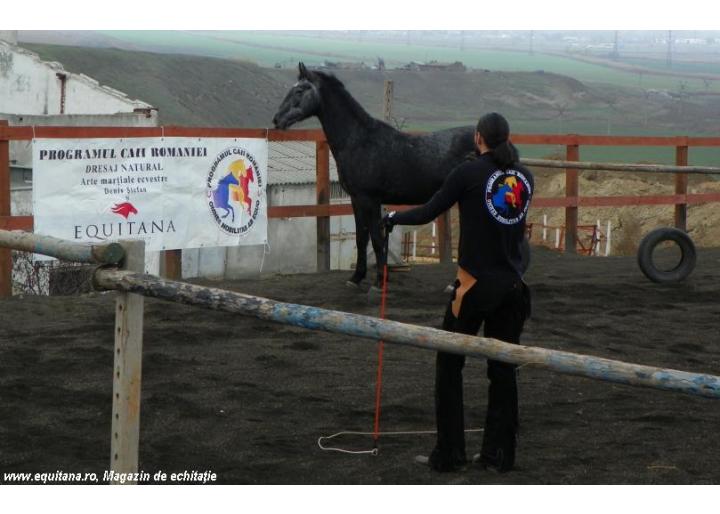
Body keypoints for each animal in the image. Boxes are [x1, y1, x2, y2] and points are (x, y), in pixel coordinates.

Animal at [274, 62, 478, 290]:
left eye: (300, 91)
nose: (277, 120)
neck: (359, 141)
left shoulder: (371, 200)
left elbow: (376, 239)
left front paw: (380, 281)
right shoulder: (356, 200)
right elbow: (360, 238)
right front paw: (356, 278)